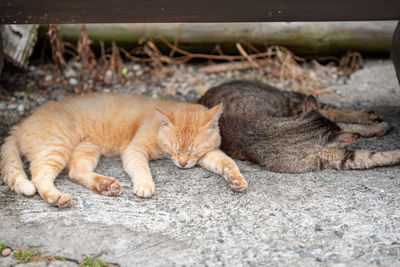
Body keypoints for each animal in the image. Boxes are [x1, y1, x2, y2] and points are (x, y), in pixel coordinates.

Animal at [0, 93, 247, 208]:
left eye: (193, 151)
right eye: (175, 149)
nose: (183, 164)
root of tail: (22, 122)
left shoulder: (208, 154)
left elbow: (227, 163)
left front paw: (236, 180)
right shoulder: (134, 150)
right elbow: (141, 169)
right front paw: (145, 185)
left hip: (86, 149)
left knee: (75, 172)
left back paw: (106, 185)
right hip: (57, 147)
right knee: (40, 176)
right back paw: (57, 197)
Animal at [198, 79, 398, 173]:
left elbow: (347, 127)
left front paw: (373, 128)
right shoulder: (336, 158)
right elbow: (372, 156)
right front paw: (394, 150)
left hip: (292, 105)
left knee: (332, 110)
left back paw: (369, 116)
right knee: (333, 112)